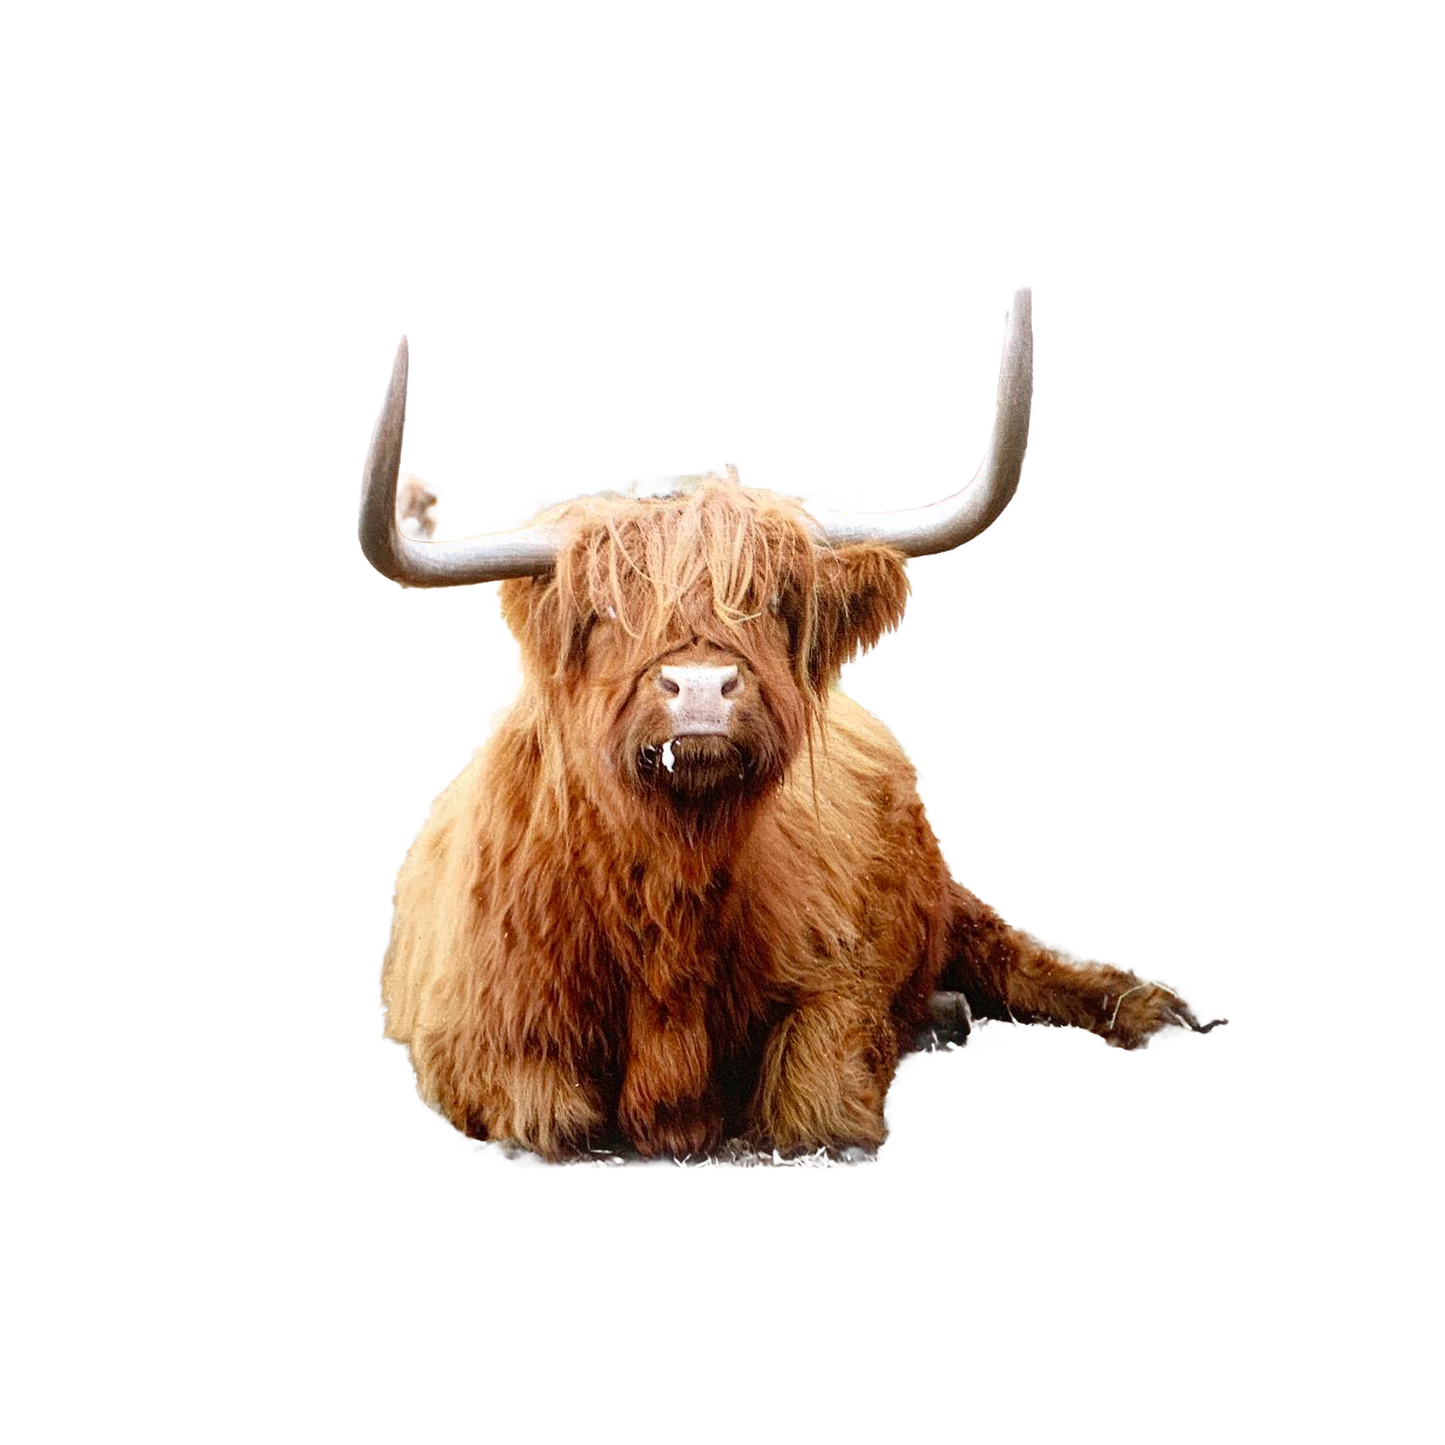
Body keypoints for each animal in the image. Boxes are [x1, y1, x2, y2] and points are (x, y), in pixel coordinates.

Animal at [356, 282, 1231, 1163]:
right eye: (603, 609)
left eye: (773, 602)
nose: (700, 687)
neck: (668, 888)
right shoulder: (474, 1036)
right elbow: (548, 1113)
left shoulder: (832, 980)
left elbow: (811, 1098)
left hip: (943, 880)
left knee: (1005, 945)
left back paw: (1153, 1006)